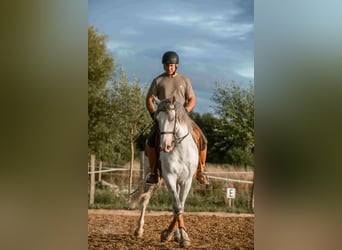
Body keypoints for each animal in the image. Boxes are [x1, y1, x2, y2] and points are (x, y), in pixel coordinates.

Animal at [128, 96, 198, 247]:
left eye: (172, 118)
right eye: (157, 119)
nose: (164, 146)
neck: (181, 149)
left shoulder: (186, 181)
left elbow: (180, 206)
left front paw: (180, 235)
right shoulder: (169, 177)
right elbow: (177, 206)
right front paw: (170, 235)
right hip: (151, 178)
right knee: (145, 199)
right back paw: (139, 230)